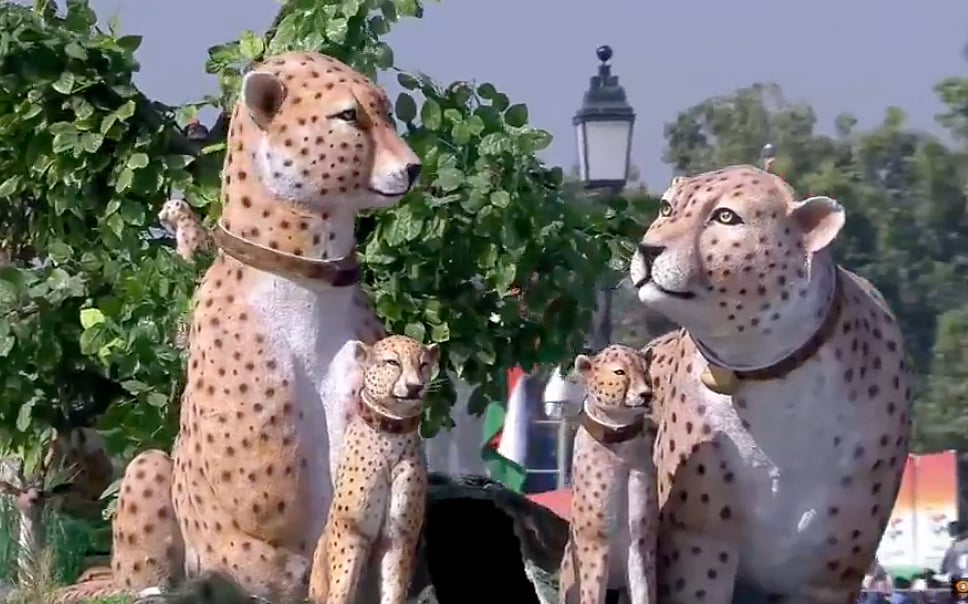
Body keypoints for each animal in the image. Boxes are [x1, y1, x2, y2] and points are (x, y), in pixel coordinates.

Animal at [53, 50, 422, 603]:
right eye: (349, 116)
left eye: (386, 113)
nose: (413, 167)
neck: (307, 276)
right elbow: (269, 521)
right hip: (149, 470)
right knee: (142, 565)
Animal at [308, 335, 438, 604]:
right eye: (393, 362)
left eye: (423, 364)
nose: (414, 386)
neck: (391, 431)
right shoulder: (351, 530)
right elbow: (342, 588)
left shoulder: (399, 535)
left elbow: (393, 587)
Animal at [559, 344, 658, 604]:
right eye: (620, 372)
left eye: (646, 371)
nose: (646, 394)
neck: (619, 443)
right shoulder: (595, 543)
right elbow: (592, 594)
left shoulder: (640, 542)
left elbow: (643, 591)